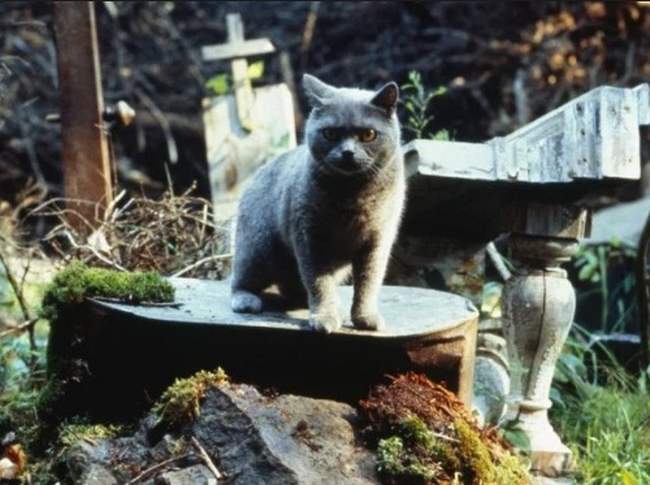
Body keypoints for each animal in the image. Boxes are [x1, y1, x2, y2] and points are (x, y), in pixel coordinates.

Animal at [230, 73, 402, 332]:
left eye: (368, 135)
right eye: (330, 133)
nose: (348, 152)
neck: (352, 196)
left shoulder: (377, 241)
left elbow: (368, 283)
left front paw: (365, 317)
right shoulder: (310, 238)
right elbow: (320, 282)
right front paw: (325, 317)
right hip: (258, 247)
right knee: (239, 278)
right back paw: (246, 300)